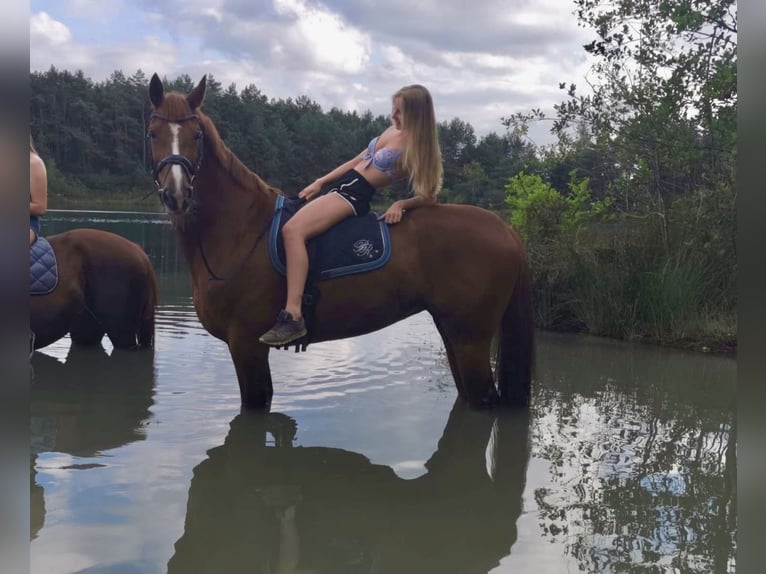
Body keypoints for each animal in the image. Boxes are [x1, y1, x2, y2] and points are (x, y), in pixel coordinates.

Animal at [148, 74, 536, 412]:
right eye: (152, 133)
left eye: (197, 135)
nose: (177, 195)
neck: (241, 230)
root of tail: (506, 229)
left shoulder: (246, 345)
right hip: (451, 331)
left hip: (470, 338)